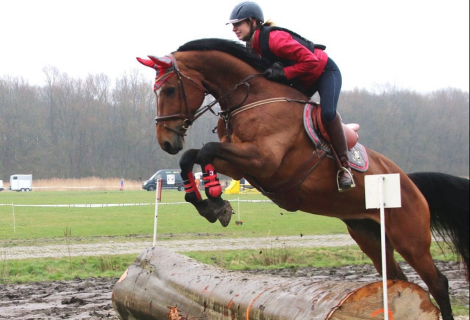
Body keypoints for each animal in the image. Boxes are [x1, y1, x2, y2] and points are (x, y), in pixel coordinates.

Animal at [138, 38, 468, 320]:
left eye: (169, 90)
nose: (166, 141)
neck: (253, 97)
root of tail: (409, 183)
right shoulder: (240, 167)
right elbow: (191, 157)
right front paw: (208, 203)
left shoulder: (263, 159)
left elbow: (204, 150)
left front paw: (217, 202)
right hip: (369, 234)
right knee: (395, 278)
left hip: (410, 237)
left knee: (438, 282)